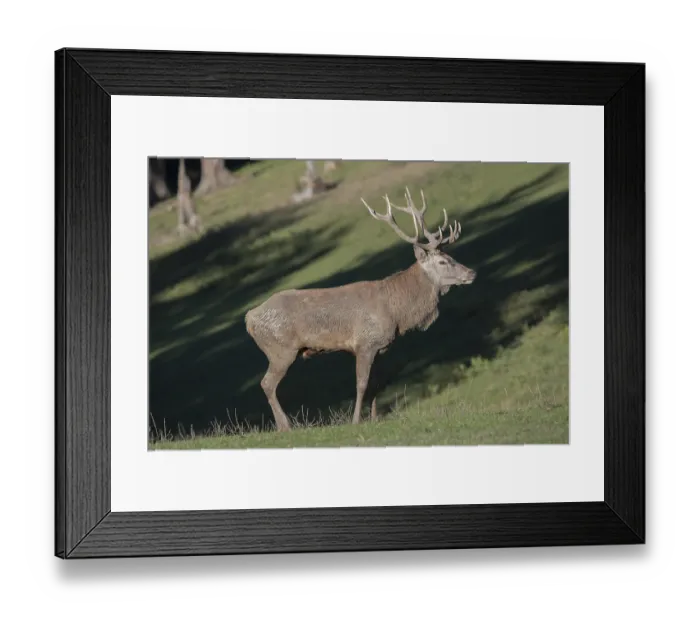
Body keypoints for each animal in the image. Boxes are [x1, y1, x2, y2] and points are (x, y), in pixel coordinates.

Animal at [244, 187, 477, 432]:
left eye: (451, 256)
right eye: (442, 261)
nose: (471, 273)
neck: (397, 314)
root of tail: (249, 318)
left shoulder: (381, 347)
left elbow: (376, 384)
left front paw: (375, 418)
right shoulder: (364, 343)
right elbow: (361, 384)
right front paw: (356, 420)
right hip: (280, 349)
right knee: (267, 383)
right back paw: (285, 426)